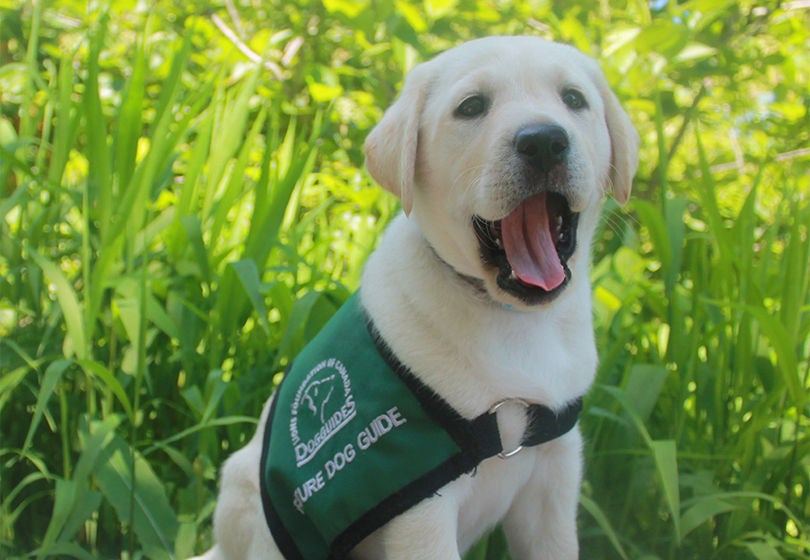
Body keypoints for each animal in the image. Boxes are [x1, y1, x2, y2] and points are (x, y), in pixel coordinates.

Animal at [193, 35, 636, 560]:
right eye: (472, 107)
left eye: (573, 99)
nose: (544, 140)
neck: (511, 318)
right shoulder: (421, 511)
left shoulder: (553, 479)